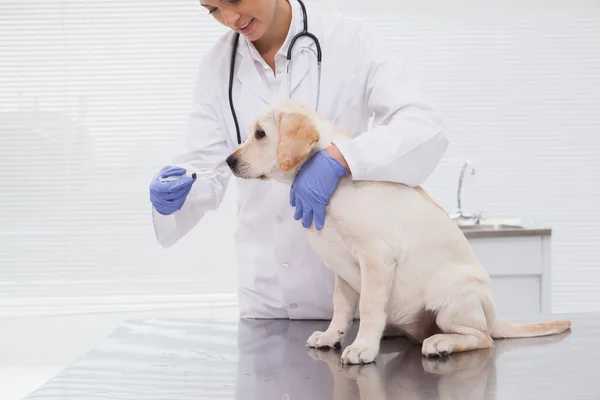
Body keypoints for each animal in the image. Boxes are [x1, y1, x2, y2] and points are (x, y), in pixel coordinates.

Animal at [226, 98, 572, 364]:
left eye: (260, 133)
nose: (228, 161)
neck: (333, 186)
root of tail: (494, 315)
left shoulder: (375, 259)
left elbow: (368, 307)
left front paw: (363, 348)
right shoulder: (342, 270)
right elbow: (341, 307)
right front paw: (331, 335)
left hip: (450, 298)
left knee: (481, 336)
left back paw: (440, 343)